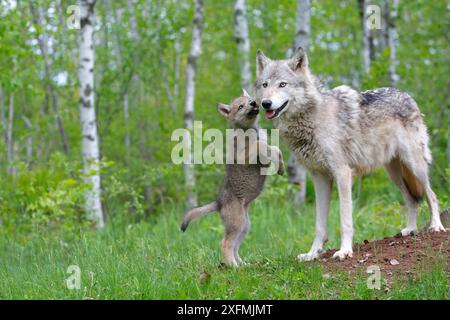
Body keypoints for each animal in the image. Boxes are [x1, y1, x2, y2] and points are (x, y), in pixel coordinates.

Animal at [253, 48, 446, 262]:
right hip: (395, 174)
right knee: (412, 200)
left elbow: (345, 219)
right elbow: (319, 225)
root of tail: (406, 95)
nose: (265, 103)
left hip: (415, 166)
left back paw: (436, 226)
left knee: (432, 195)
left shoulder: (342, 174)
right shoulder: (319, 178)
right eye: (265, 85)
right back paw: (410, 230)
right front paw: (312, 253)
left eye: (282, 84)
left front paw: (345, 251)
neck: (312, 118)